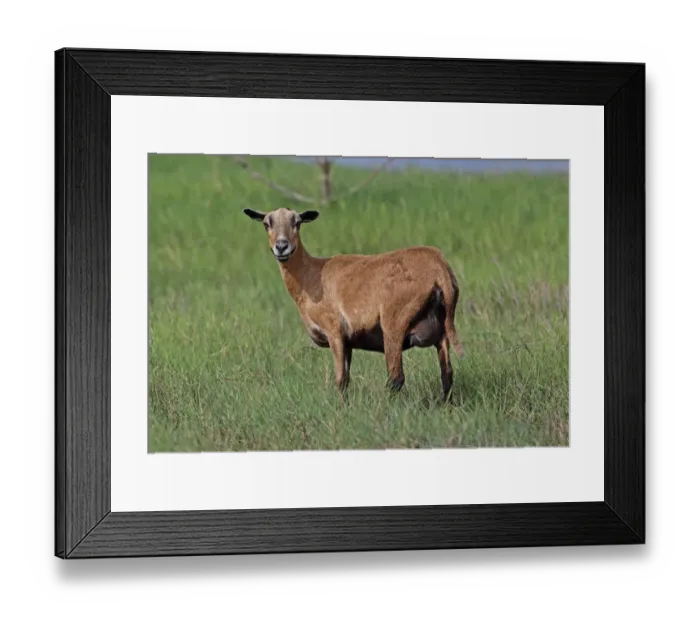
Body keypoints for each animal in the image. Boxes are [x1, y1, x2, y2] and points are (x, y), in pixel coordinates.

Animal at [243, 207, 465, 402]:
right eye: (267, 224)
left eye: (297, 222)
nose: (282, 246)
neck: (310, 276)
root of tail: (439, 269)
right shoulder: (348, 341)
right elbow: (347, 379)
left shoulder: (334, 331)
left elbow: (340, 379)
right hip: (441, 328)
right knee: (447, 374)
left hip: (394, 323)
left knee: (396, 378)